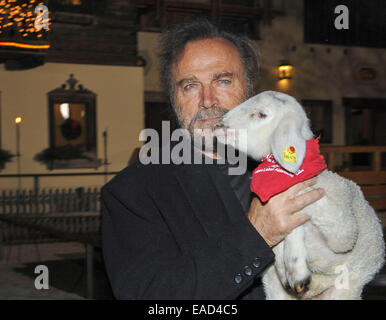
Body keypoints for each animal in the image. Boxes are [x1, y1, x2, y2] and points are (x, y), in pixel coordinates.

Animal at [213, 90, 384, 300]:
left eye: (262, 114)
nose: (218, 125)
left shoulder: (343, 232)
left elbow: (300, 206)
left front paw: (295, 270)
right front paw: (286, 264)